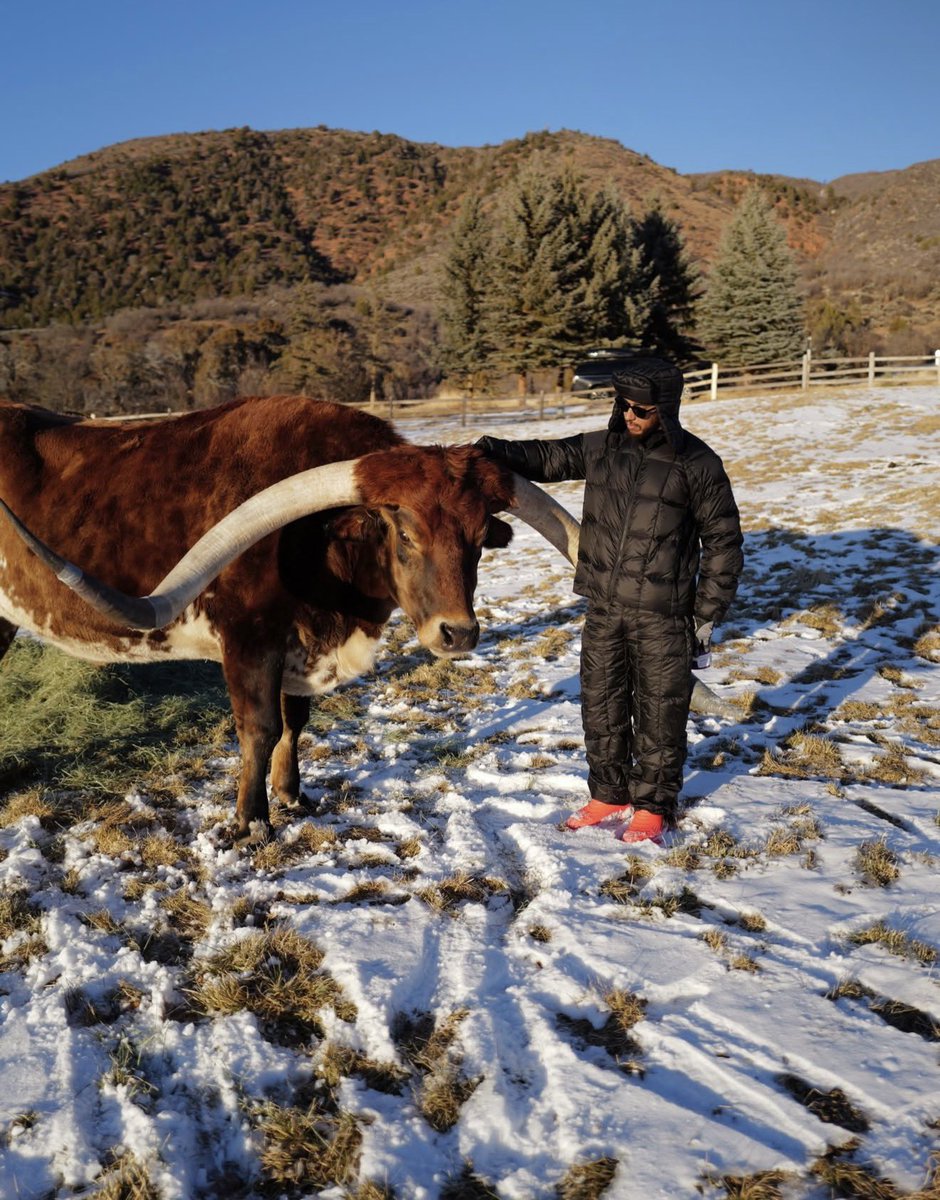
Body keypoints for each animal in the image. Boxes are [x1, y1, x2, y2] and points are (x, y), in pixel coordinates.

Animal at [0, 394, 579, 845]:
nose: (457, 633)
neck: (317, 543)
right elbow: (260, 727)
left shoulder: (300, 644)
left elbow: (295, 721)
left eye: (480, 538)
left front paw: (292, 794)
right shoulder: (249, 640)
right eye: (405, 533)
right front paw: (251, 823)